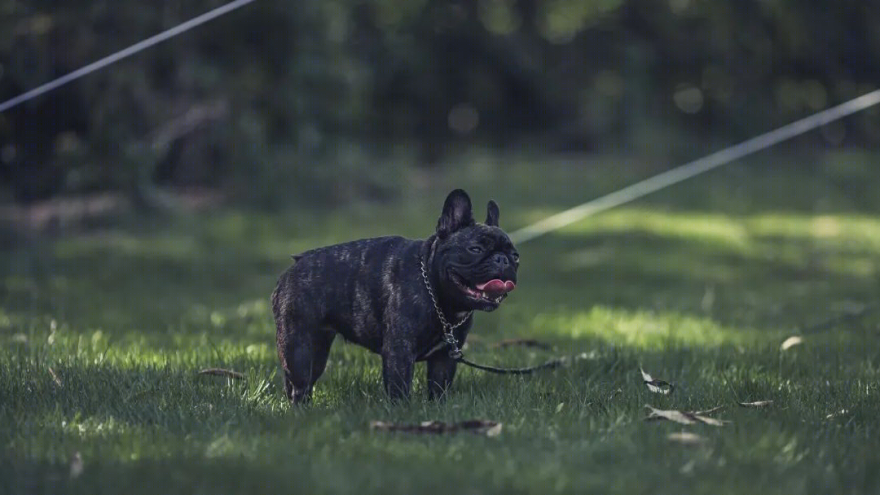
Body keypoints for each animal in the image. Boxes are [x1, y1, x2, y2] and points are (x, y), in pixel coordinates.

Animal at [272, 190, 520, 404]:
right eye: (476, 249)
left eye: (516, 256)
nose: (502, 259)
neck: (438, 295)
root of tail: (294, 266)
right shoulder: (399, 352)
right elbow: (400, 388)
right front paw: (402, 411)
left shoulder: (445, 357)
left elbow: (439, 388)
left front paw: (438, 409)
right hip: (298, 348)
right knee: (299, 384)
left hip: (319, 350)